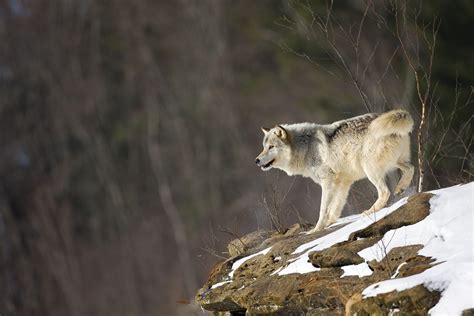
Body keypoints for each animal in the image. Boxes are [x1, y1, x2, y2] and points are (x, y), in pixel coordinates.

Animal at [256, 110, 414, 233]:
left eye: (271, 147)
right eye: (264, 147)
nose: (256, 160)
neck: (306, 147)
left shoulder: (328, 181)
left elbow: (323, 209)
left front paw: (317, 229)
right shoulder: (343, 182)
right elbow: (336, 206)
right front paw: (330, 222)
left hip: (370, 169)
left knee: (385, 191)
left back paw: (370, 211)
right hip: (396, 163)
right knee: (411, 169)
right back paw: (400, 188)